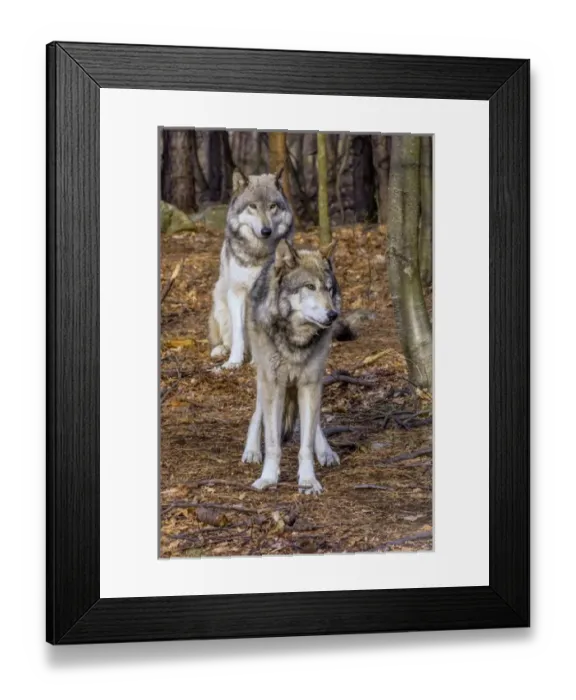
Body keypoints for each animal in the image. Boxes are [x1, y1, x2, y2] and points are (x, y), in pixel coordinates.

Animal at [208, 168, 295, 370]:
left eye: (272, 206)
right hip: (220, 301)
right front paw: (233, 362)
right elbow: (239, 332)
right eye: (253, 207)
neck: (258, 254)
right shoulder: (237, 292)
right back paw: (221, 351)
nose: (266, 231)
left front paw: (259, 361)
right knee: (227, 339)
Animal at [242, 238, 344, 494]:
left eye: (329, 289)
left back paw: (325, 451)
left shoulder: (310, 382)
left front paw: (308, 481)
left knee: (314, 423)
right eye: (309, 287)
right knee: (258, 412)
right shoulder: (273, 382)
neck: (296, 339)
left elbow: (306, 443)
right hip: (264, 374)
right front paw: (268, 478)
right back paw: (252, 450)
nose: (333, 314)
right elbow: (273, 442)